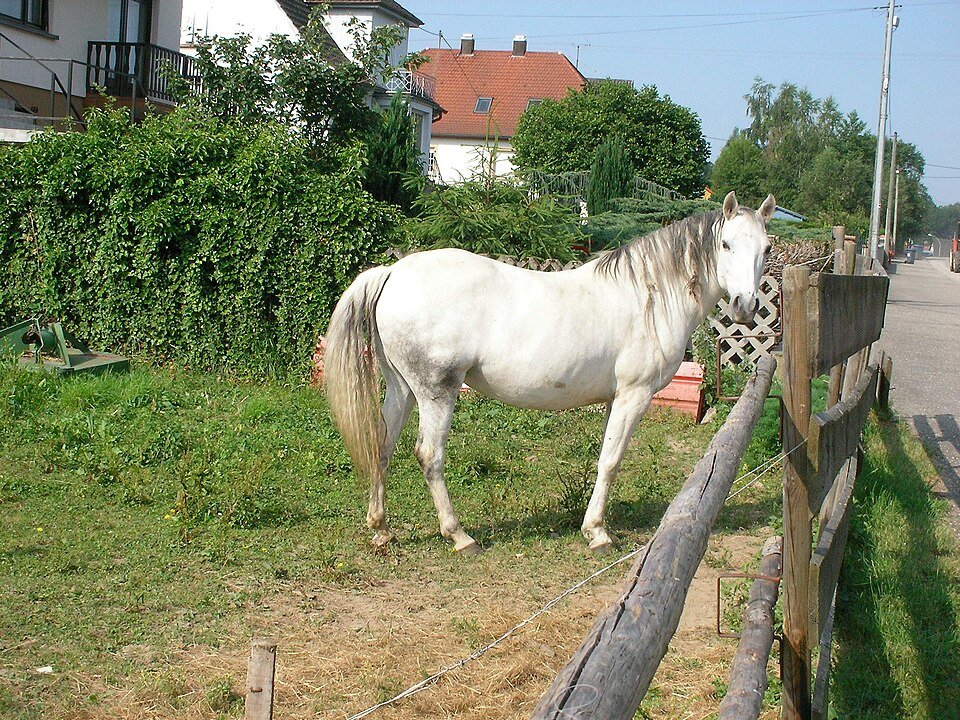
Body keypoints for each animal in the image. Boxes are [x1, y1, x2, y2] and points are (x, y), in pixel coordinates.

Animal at [324, 191, 776, 555]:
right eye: (726, 244)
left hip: (401, 389)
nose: (745, 307)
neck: (648, 295)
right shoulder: (634, 395)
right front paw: (598, 533)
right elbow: (611, 461)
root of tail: (393, 273)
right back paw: (459, 536)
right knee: (429, 456)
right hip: (436, 392)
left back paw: (381, 529)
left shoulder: (617, 400)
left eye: (767, 248)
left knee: (381, 446)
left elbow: (605, 457)